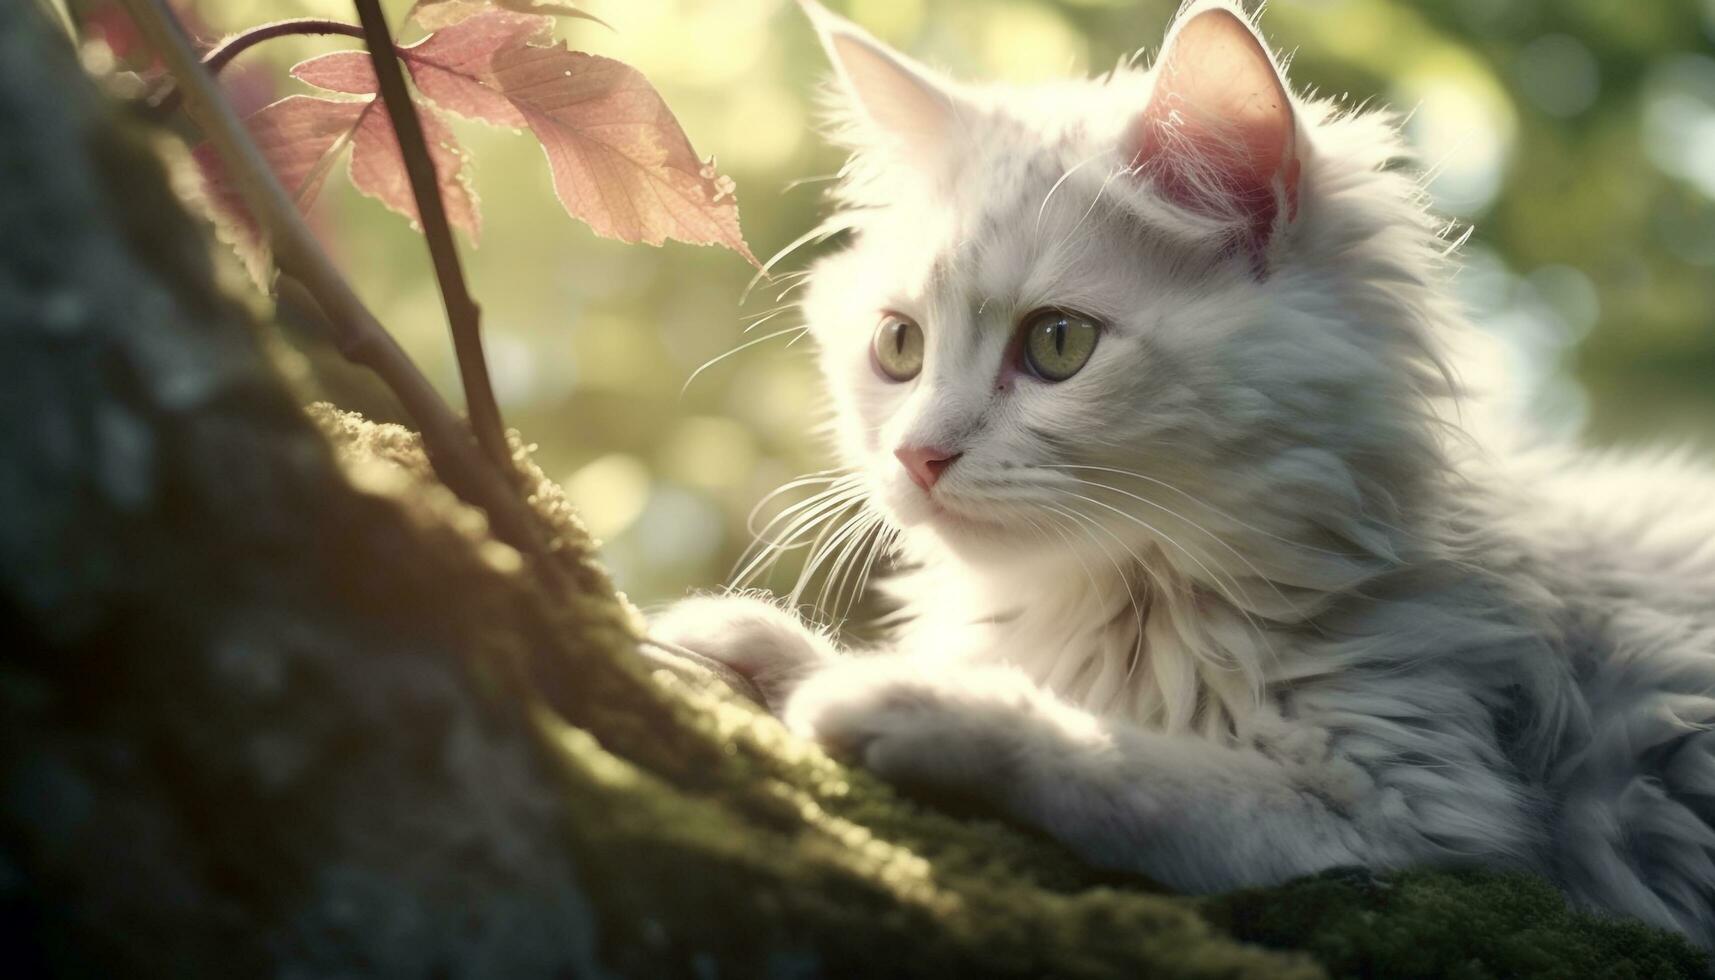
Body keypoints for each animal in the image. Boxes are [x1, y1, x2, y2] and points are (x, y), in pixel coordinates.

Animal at [648, 0, 1715, 954]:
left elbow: (1131, 766)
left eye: (1058, 344)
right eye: (899, 348)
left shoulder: (1420, 820)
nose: (917, 455)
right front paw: (761, 645)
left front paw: (908, 700)